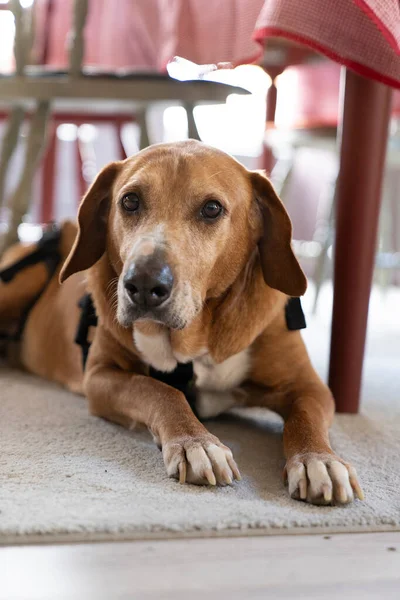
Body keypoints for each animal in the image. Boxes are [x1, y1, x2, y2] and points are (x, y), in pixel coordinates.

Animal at [0, 141, 362, 506]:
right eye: (130, 201)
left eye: (212, 209)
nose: (143, 285)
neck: (198, 335)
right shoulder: (100, 376)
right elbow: (159, 390)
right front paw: (195, 442)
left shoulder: (310, 387)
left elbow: (306, 417)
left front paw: (319, 460)